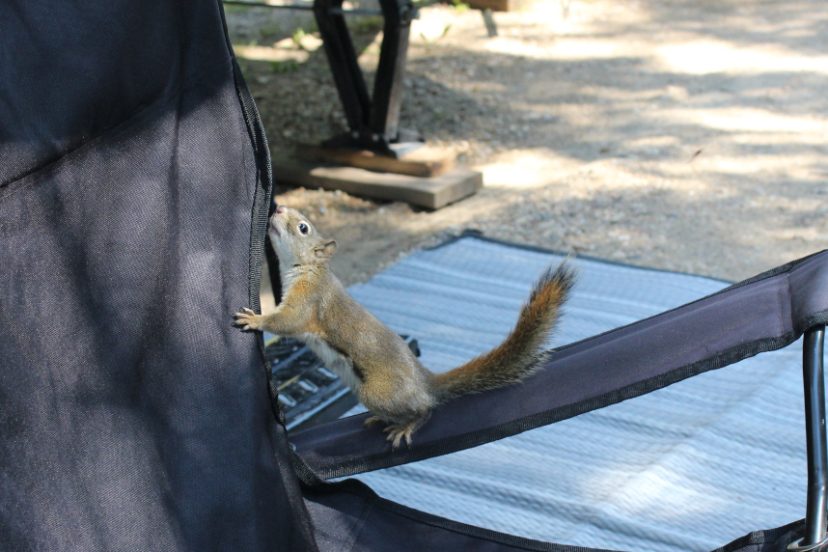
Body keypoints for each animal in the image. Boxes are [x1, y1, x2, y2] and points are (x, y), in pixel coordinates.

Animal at [234, 205, 575, 449]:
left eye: (303, 227)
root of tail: (425, 382)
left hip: (378, 392)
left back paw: (407, 425)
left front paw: (256, 320)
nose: (278, 208)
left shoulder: (309, 300)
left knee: (425, 409)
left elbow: (287, 321)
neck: (306, 268)